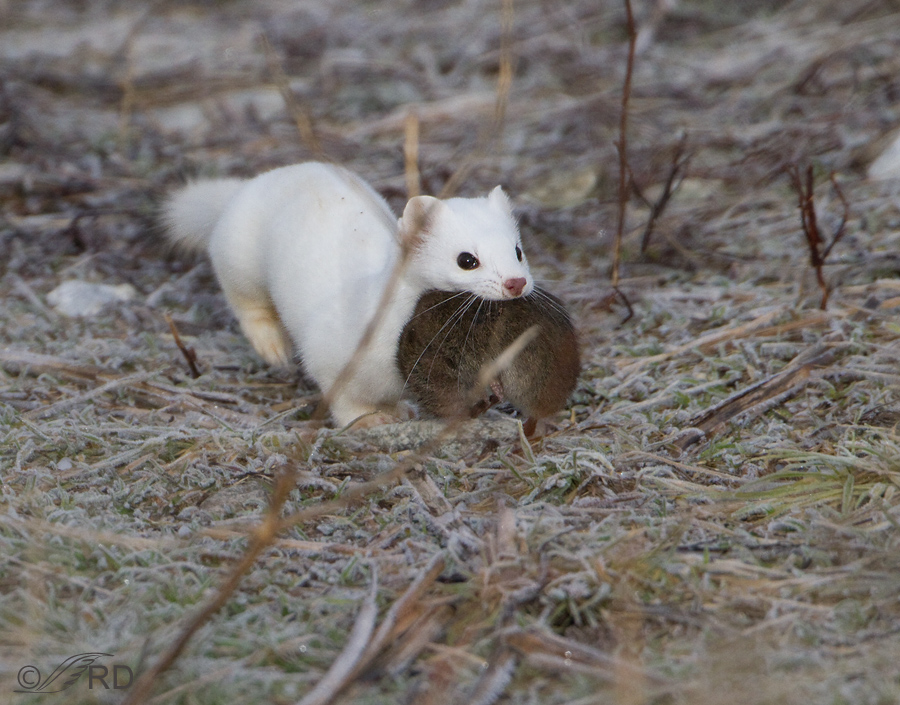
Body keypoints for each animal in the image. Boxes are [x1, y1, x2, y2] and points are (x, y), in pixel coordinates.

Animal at [163, 162, 536, 426]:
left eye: (518, 251)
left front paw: (401, 410)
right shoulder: (329, 352)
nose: (515, 282)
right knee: (244, 300)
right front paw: (368, 420)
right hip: (240, 258)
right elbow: (342, 398)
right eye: (467, 260)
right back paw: (272, 346)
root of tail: (249, 185)